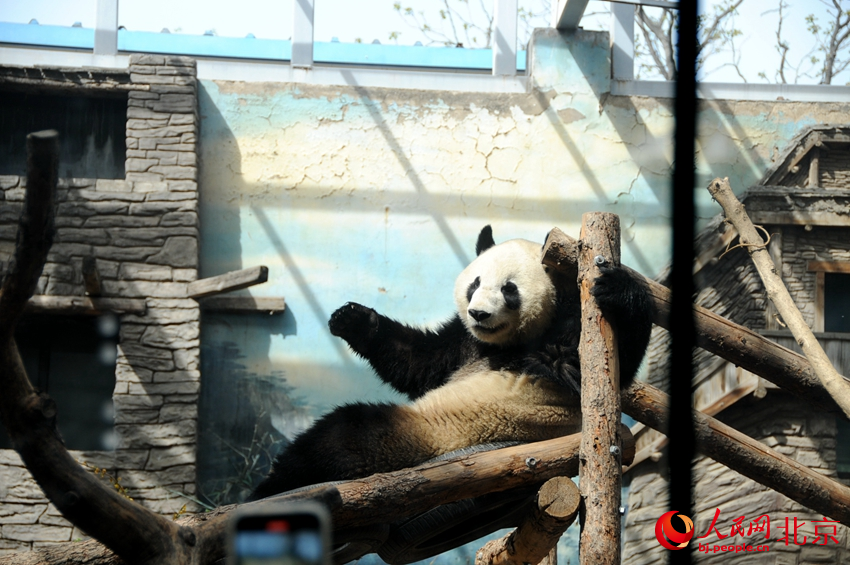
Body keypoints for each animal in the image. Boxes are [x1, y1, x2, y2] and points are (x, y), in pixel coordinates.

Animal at [248, 225, 652, 498]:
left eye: (509, 289)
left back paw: (271, 487)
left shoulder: (560, 337)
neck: (504, 343)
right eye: (475, 283)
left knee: (341, 438)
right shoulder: (465, 343)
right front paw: (352, 319)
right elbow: (419, 365)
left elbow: (588, 371)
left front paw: (621, 292)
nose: (479, 313)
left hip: (421, 438)